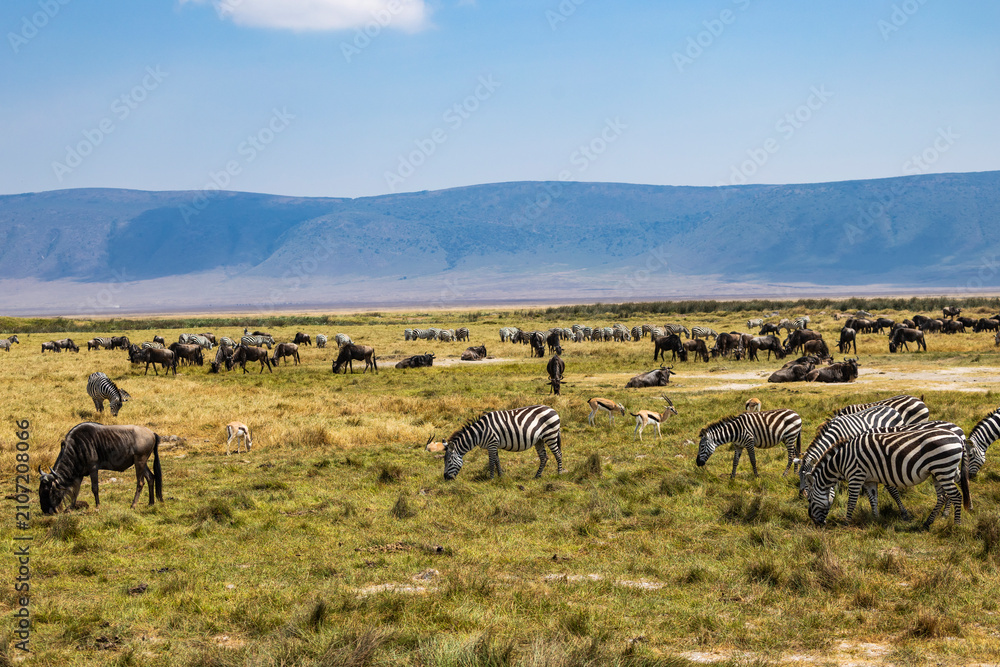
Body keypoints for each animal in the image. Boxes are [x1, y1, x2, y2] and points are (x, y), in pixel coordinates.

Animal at [808, 427, 971, 527]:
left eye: (809, 499)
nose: (815, 522)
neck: (842, 460)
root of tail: (959, 438)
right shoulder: (869, 480)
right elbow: (873, 500)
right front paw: (875, 519)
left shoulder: (856, 476)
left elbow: (852, 501)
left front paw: (846, 522)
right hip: (939, 472)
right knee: (942, 496)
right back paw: (928, 522)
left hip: (943, 469)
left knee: (956, 495)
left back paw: (956, 525)